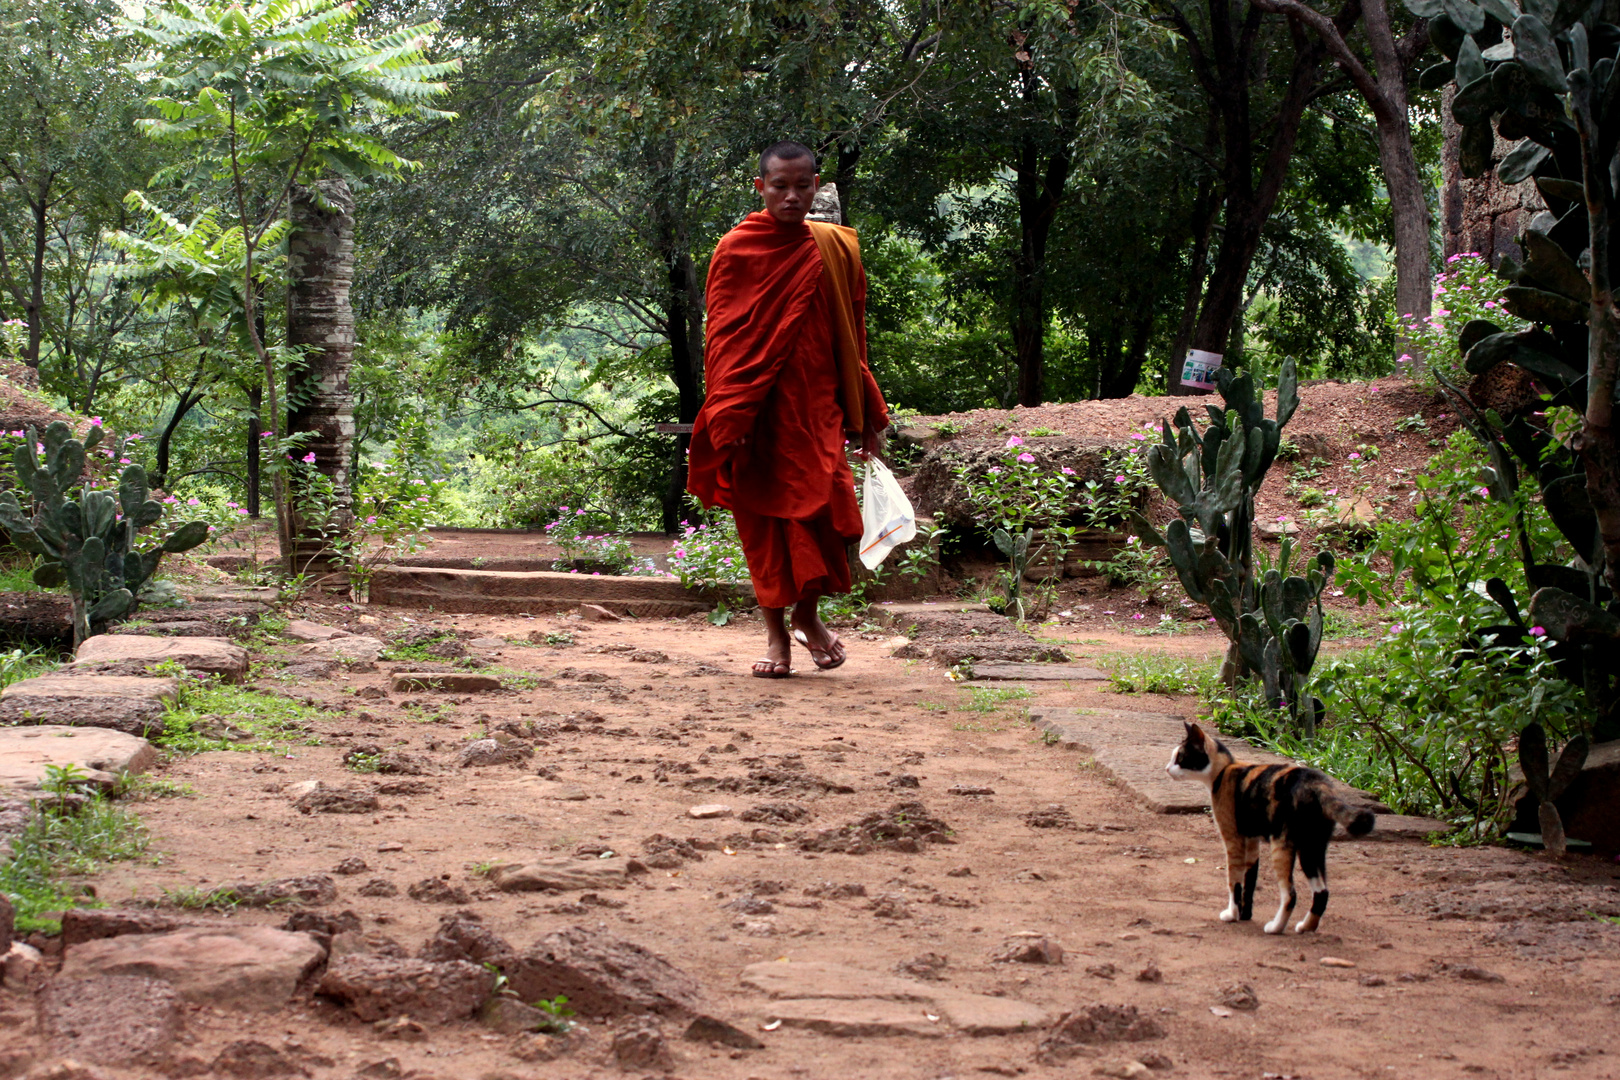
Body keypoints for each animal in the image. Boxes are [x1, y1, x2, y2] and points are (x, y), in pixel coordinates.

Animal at [1172, 722, 1373, 932]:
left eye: (1180, 758)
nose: (1168, 768)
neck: (1223, 770)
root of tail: (1318, 783)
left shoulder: (1233, 839)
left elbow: (1234, 881)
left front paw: (1232, 915)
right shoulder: (1252, 841)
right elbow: (1250, 880)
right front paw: (1245, 915)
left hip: (1282, 845)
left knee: (1291, 894)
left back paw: (1275, 928)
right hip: (1311, 848)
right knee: (1322, 891)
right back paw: (1306, 927)